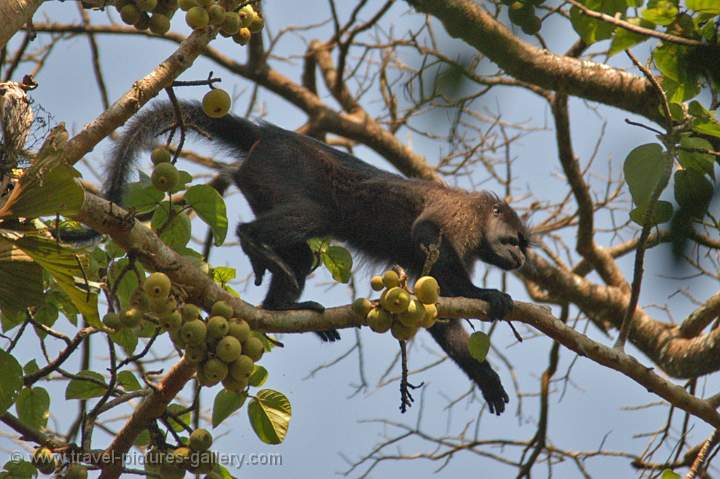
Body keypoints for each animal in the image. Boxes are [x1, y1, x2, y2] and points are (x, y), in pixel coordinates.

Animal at [83, 99, 528, 414]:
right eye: (515, 240)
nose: (522, 259)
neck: (480, 225)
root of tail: (269, 136)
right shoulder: (461, 217)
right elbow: (423, 233)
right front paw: (487, 295)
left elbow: (440, 316)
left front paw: (486, 377)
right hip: (282, 168)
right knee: (318, 215)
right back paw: (251, 240)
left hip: (263, 183)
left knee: (299, 256)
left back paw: (278, 309)